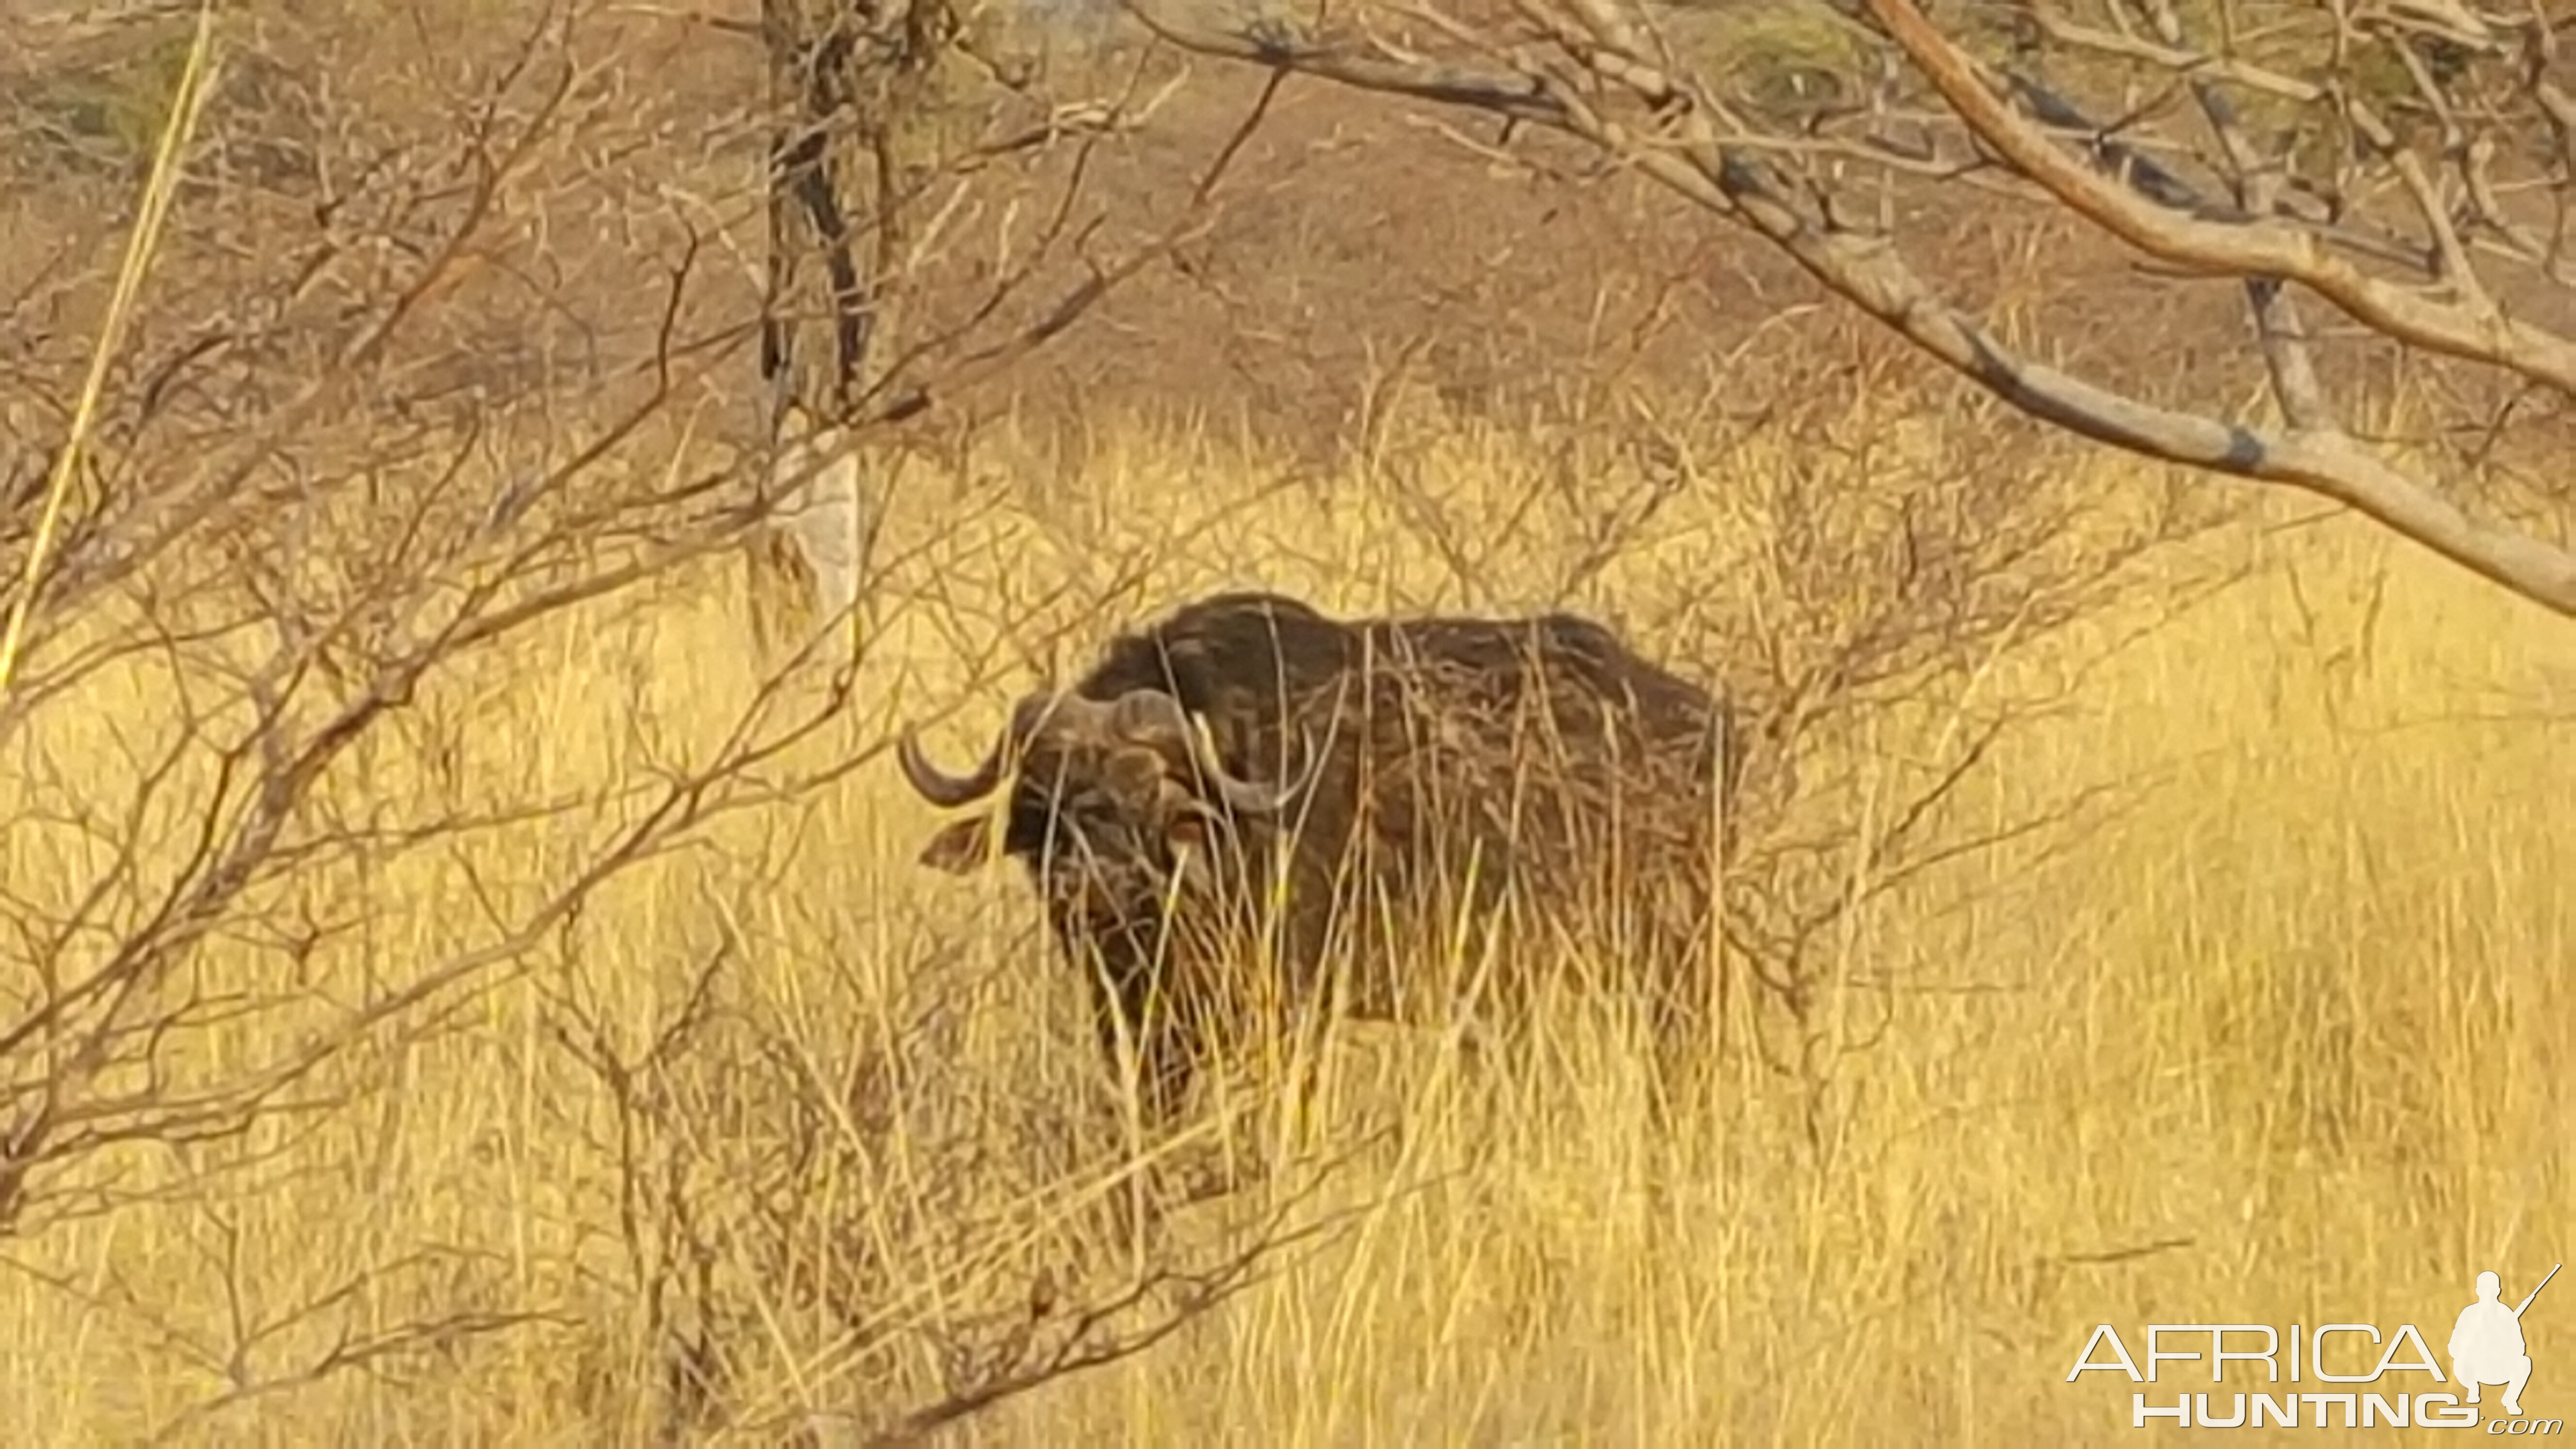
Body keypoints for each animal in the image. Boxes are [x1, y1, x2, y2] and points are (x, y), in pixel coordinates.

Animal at [896, 588, 1741, 1119]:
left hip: (1673, 960)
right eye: (1043, 804)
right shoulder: (1136, 1023)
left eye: (1149, 796)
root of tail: (1703, 717)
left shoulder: (1292, 1009)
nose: (1088, 884)